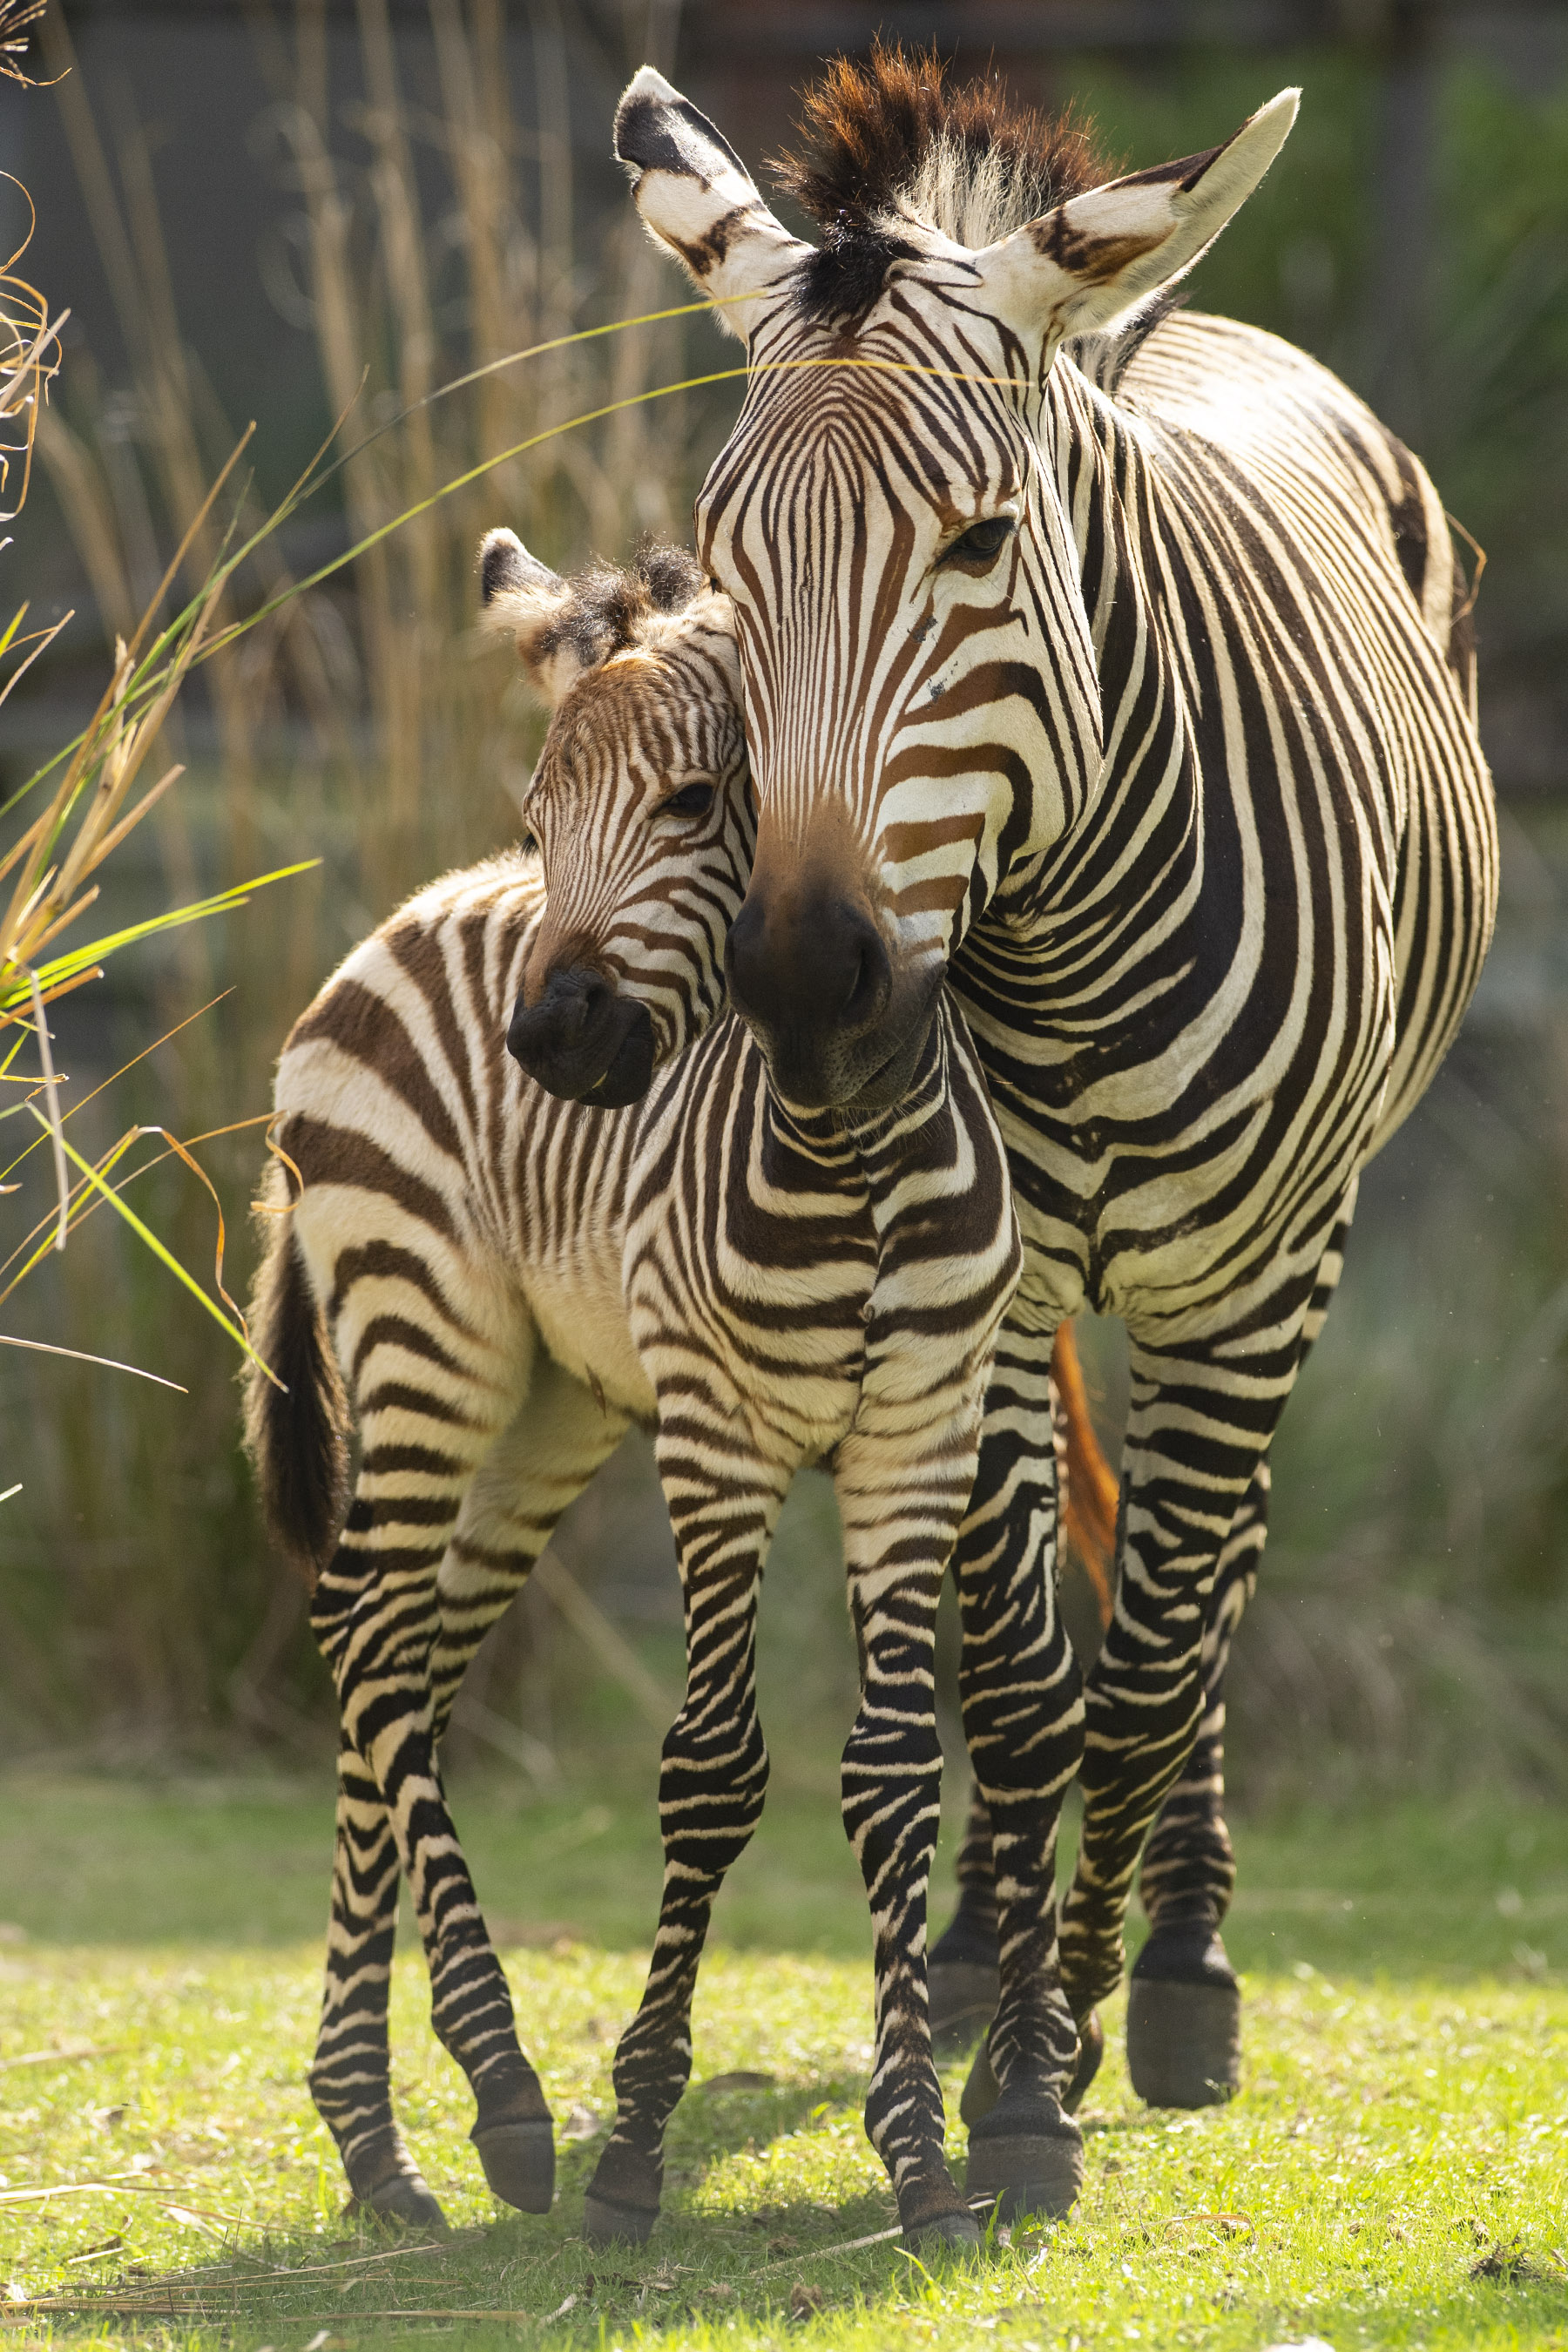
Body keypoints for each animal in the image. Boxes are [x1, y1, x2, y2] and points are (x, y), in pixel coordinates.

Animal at [246, 541, 1052, 2248]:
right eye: (540, 817)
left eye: (694, 801)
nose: (550, 1038)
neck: (852, 1148)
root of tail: (407, 913)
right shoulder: (718, 1438)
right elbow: (712, 1770)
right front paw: (630, 2144)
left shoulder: (918, 1433)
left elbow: (894, 1772)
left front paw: (921, 2160)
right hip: (423, 1334)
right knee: (365, 1633)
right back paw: (497, 2096)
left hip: (552, 1407)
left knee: (401, 1654)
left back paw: (372, 2138)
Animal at [611, 45, 1495, 2126]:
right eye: (725, 572)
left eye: (979, 545)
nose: (805, 979)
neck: (1064, 946)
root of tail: (1177, 324)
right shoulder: (985, 1281)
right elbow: (1015, 1672)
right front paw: (1005, 2023)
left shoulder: (1255, 1281)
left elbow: (1155, 1661)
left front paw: (1094, 2004)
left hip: (1275, 1261)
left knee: (1211, 1578)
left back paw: (1180, 1955)